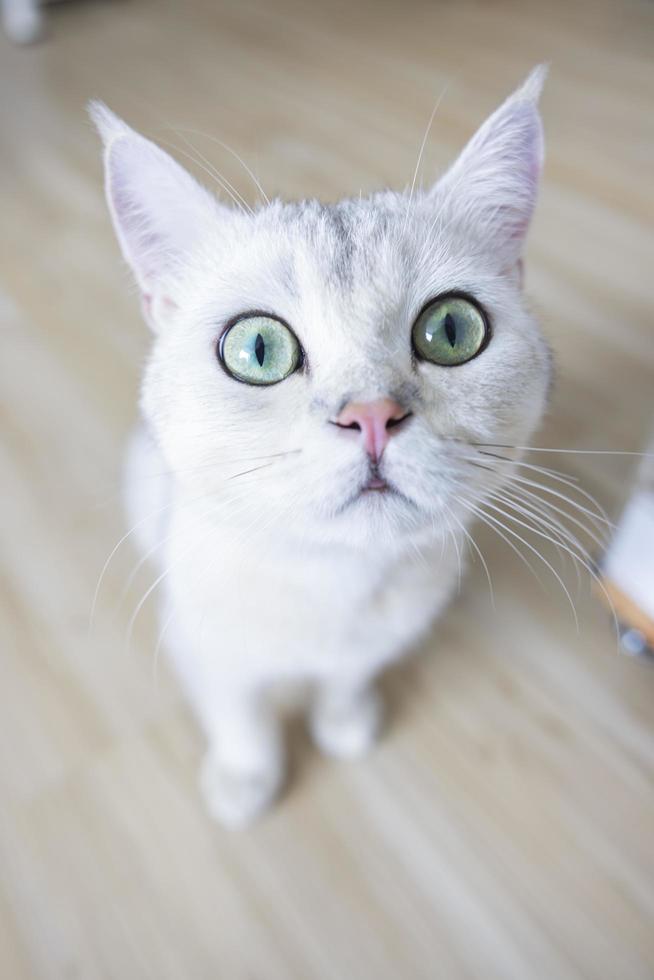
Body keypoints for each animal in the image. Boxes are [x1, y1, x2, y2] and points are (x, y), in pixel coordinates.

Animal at [92, 65, 552, 824]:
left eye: (453, 330)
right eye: (257, 348)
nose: (371, 414)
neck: (338, 586)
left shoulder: (381, 637)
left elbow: (347, 678)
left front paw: (345, 722)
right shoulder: (200, 642)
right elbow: (239, 714)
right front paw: (245, 778)